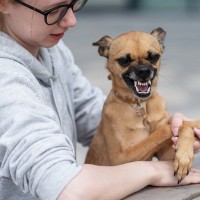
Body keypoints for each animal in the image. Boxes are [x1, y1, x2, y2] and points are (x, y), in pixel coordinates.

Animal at [85, 27, 200, 183]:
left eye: (153, 57)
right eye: (124, 60)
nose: (144, 71)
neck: (140, 105)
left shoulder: (166, 155)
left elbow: (184, 125)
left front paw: (183, 158)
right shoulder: (121, 158)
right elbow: (166, 129)